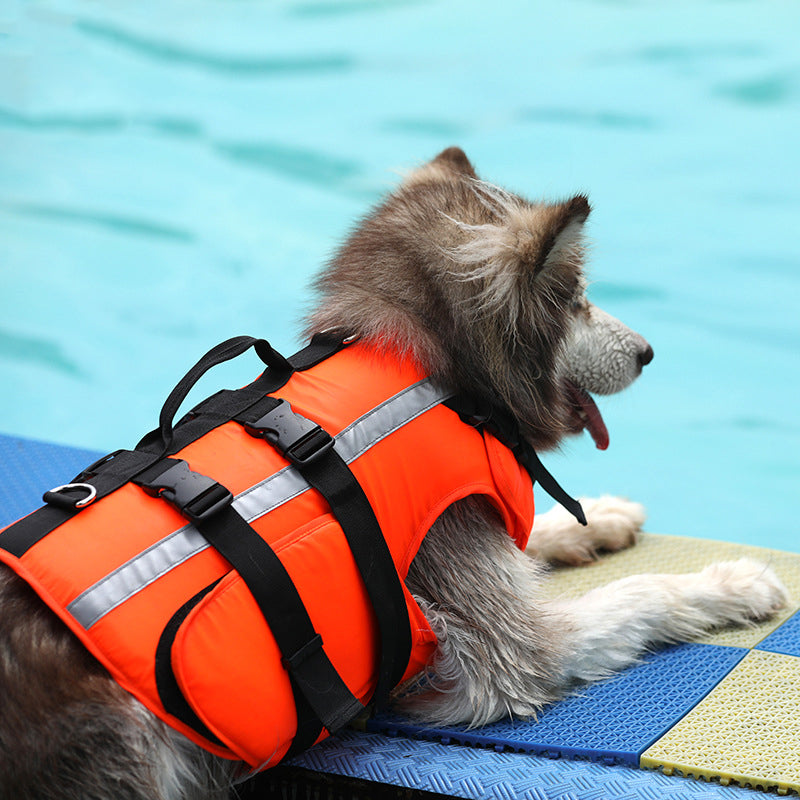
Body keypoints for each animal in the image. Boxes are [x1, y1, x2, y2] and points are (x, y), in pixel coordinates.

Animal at [0, 147, 788, 796]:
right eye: (576, 299)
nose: (650, 352)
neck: (441, 375)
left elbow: (530, 533)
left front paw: (598, 519)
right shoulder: (514, 649)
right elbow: (643, 594)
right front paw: (733, 583)